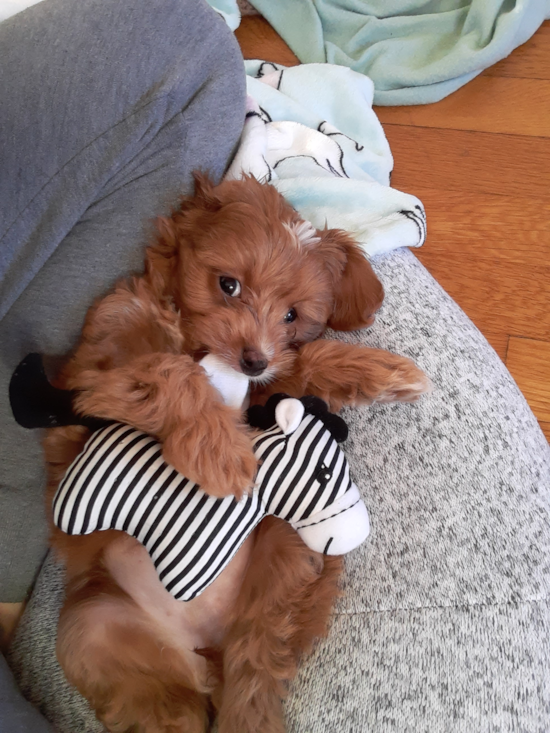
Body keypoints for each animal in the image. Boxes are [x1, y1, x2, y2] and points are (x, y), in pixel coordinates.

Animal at [45, 174, 430, 728]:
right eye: (228, 285)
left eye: (291, 315)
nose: (253, 360)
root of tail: (202, 643)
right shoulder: (102, 371)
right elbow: (170, 371)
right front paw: (222, 455)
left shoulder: (271, 388)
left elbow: (306, 360)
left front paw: (385, 371)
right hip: (95, 626)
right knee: (165, 704)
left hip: (284, 555)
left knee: (258, 655)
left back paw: (247, 708)